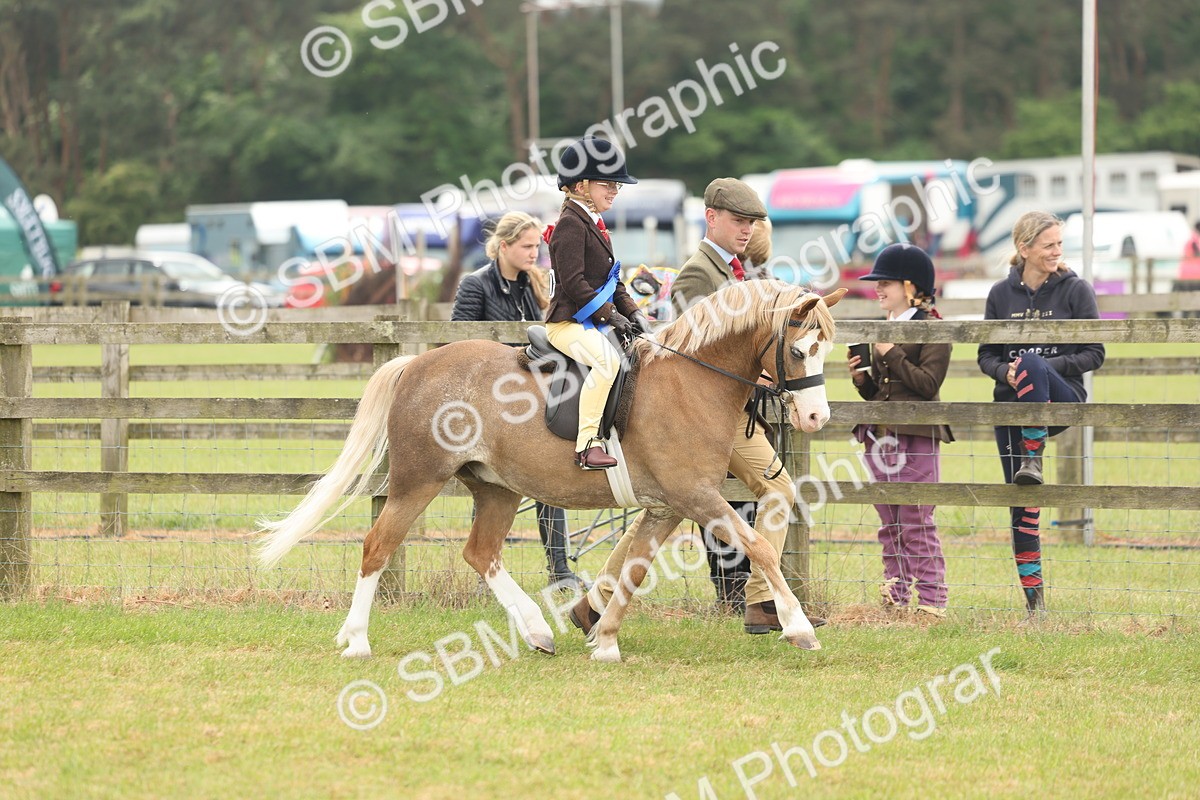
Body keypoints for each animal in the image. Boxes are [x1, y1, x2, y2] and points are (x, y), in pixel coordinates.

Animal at [258, 280, 847, 662]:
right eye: (800, 350)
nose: (817, 418)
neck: (691, 380)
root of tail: (417, 364)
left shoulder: (666, 507)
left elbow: (633, 570)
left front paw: (604, 640)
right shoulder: (697, 497)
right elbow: (760, 546)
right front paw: (798, 628)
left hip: (495, 488)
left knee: (481, 553)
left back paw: (538, 631)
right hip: (417, 482)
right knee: (378, 547)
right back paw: (357, 639)